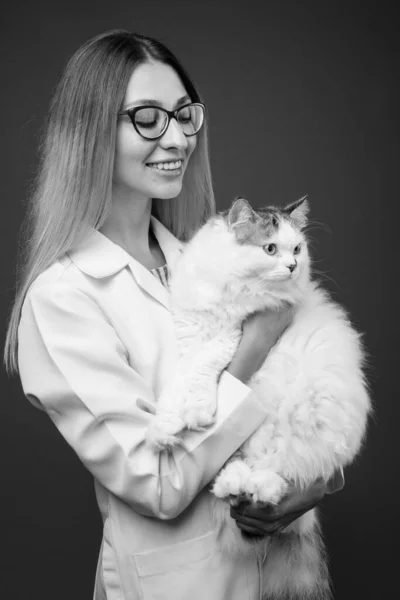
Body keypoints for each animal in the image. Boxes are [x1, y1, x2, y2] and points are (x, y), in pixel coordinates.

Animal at [145, 198, 370, 600]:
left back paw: (256, 487)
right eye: (270, 249)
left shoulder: (231, 335)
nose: (292, 266)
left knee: (281, 473)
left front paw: (196, 411)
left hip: (295, 420)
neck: (229, 289)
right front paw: (166, 427)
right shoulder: (191, 331)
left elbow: (201, 369)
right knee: (239, 465)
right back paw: (232, 483)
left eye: (296, 249)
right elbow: (180, 381)